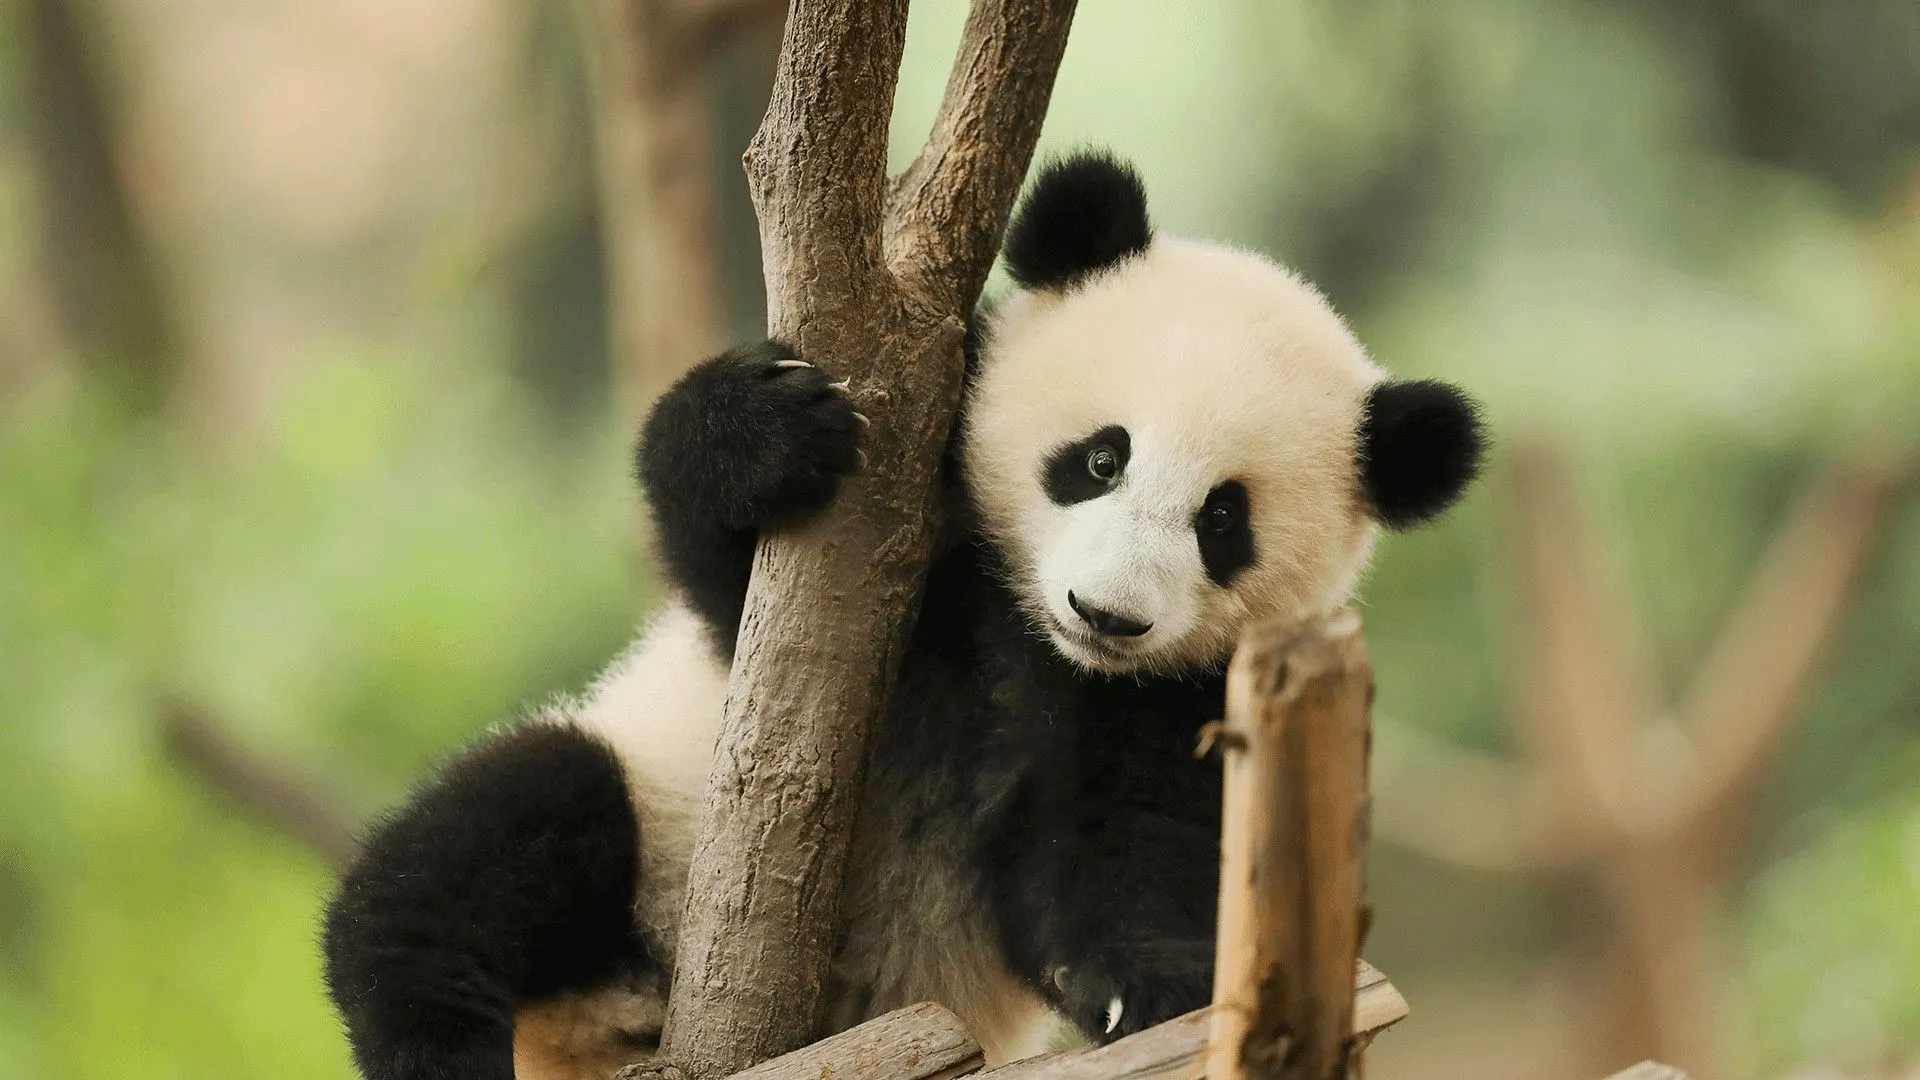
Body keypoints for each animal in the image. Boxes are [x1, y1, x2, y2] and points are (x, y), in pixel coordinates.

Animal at [321, 150, 1485, 1080]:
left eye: (1223, 521)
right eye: (1099, 458)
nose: (1106, 613)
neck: (1031, 641)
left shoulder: (1164, 699)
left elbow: (1107, 851)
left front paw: (1151, 988)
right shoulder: (891, 561)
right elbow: (727, 583)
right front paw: (763, 431)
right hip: (651, 836)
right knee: (480, 852)